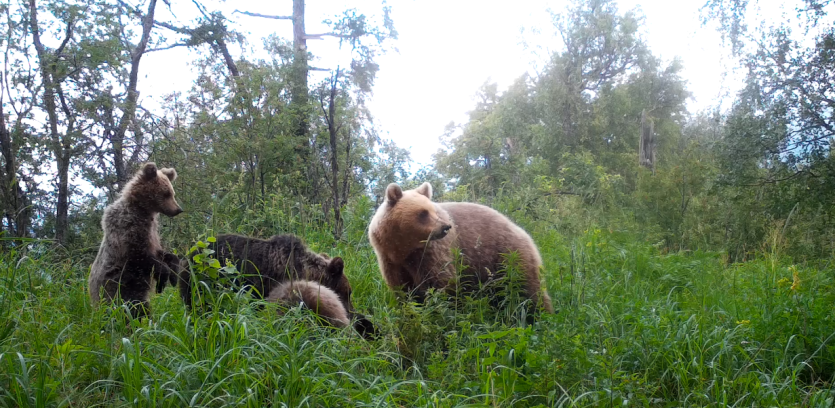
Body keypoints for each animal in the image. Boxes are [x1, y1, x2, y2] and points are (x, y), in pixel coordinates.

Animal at [88, 162, 185, 318]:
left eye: (172, 192)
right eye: (166, 193)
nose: (178, 209)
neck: (143, 209)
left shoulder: (152, 233)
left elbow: (162, 253)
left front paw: (174, 274)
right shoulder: (128, 228)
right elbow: (140, 255)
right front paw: (162, 279)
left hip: (135, 291)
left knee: (141, 308)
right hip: (116, 288)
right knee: (125, 309)